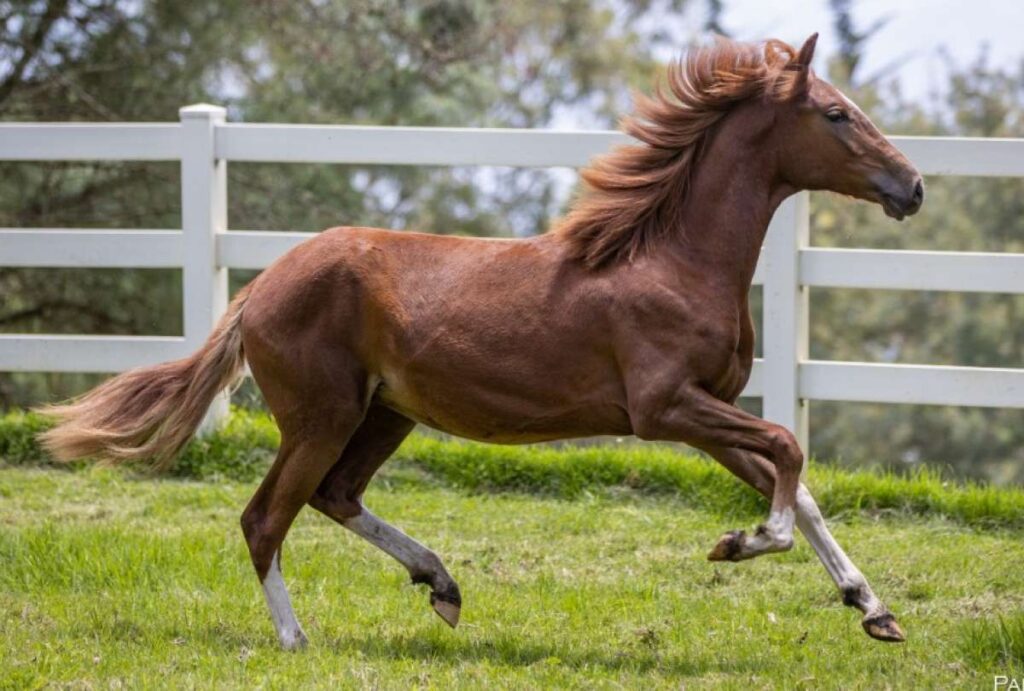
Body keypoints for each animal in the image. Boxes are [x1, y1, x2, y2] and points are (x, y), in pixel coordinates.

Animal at [39, 34, 924, 650]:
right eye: (836, 113)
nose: (911, 185)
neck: (670, 258)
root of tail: (261, 284)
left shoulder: (706, 412)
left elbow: (794, 480)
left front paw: (873, 609)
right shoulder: (665, 407)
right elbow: (788, 450)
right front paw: (738, 544)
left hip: (384, 414)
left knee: (335, 495)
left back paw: (442, 582)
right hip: (321, 416)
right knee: (266, 516)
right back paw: (296, 636)